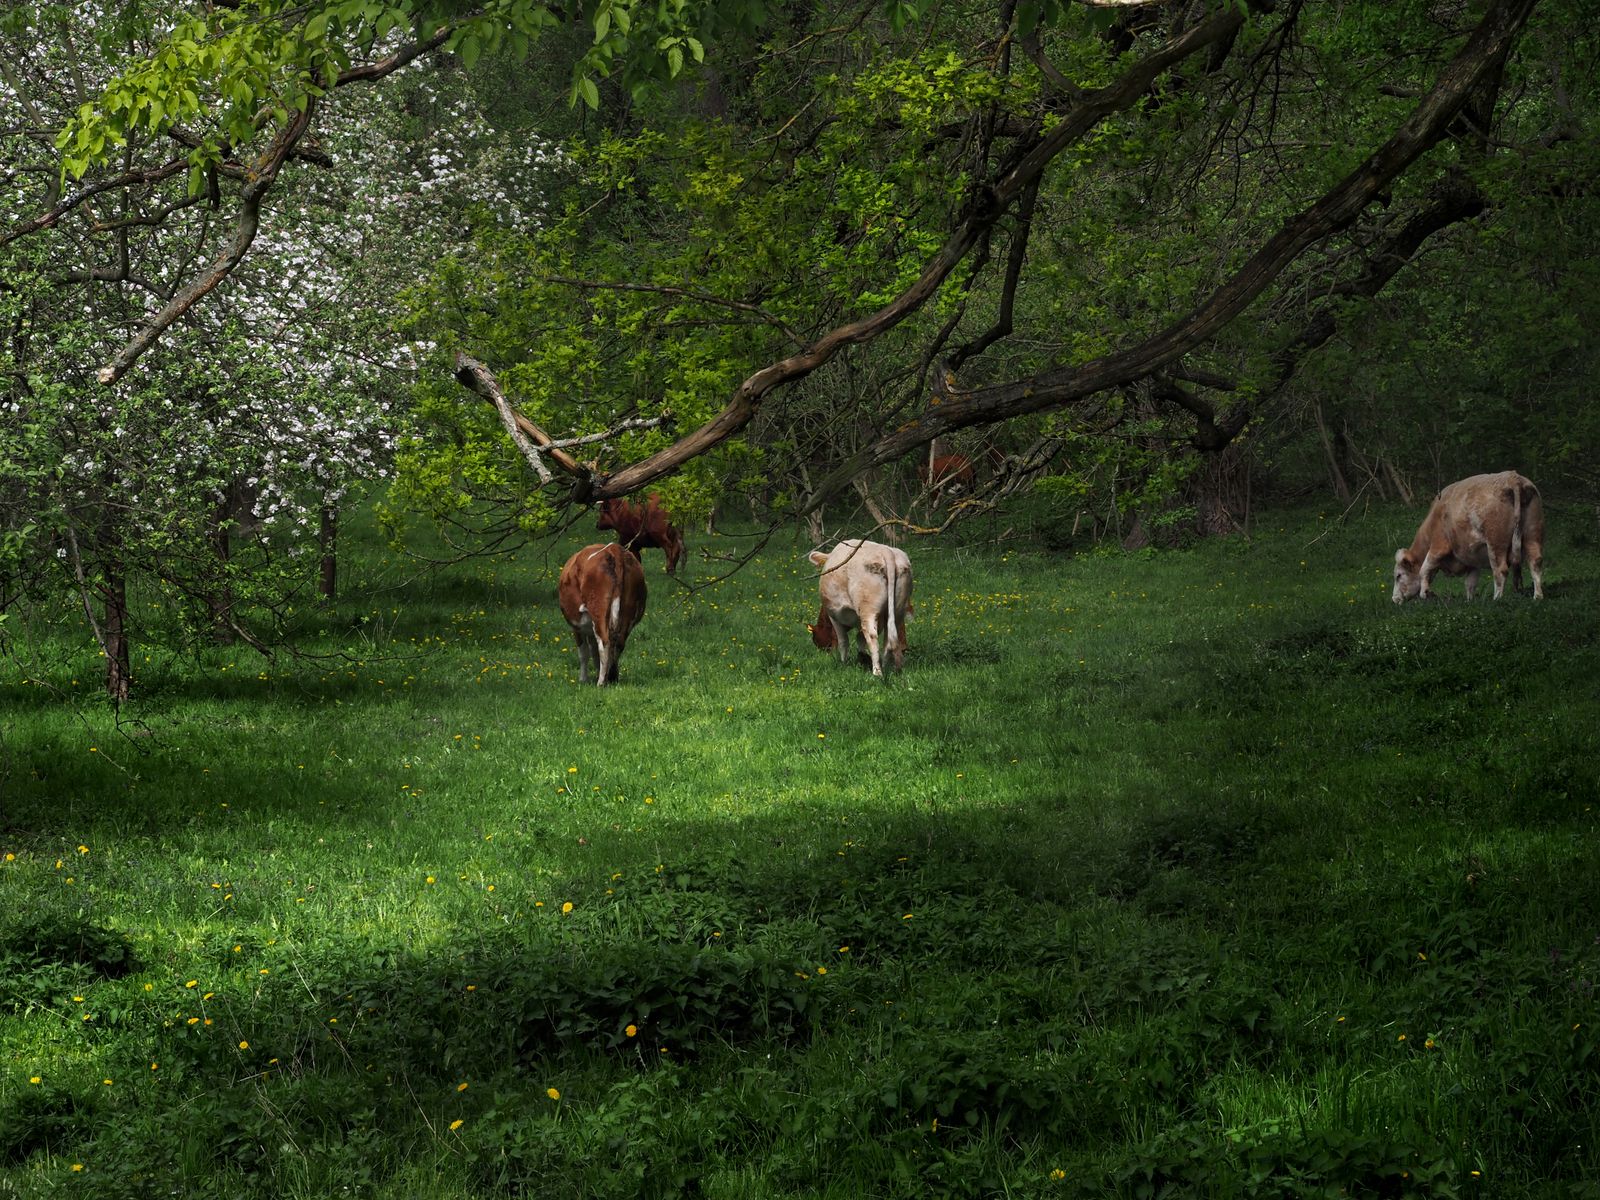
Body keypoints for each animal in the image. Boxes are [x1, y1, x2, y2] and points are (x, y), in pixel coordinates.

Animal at [557, 543, 647, 686]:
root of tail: (613, 548)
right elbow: (593, 652)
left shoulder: (576, 627)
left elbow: (584, 653)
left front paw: (583, 679)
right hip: (628, 613)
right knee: (618, 643)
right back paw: (611, 677)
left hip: (598, 611)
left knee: (604, 642)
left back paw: (601, 683)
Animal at [807, 539, 913, 677]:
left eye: (819, 642)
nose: (825, 654)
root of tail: (886, 551)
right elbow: (860, 637)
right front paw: (862, 657)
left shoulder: (834, 615)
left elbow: (843, 641)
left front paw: (844, 663)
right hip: (898, 609)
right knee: (889, 638)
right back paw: (886, 666)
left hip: (868, 609)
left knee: (872, 636)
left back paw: (877, 672)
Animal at [1392, 470, 1544, 605]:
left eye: (1398, 575)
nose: (1394, 599)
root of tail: (1513, 478)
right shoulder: (1472, 559)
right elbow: (1470, 583)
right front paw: (1469, 601)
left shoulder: (1438, 546)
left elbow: (1424, 569)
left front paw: (1425, 593)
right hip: (1532, 534)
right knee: (1535, 562)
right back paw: (1537, 596)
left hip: (1496, 543)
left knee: (1500, 571)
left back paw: (1496, 599)